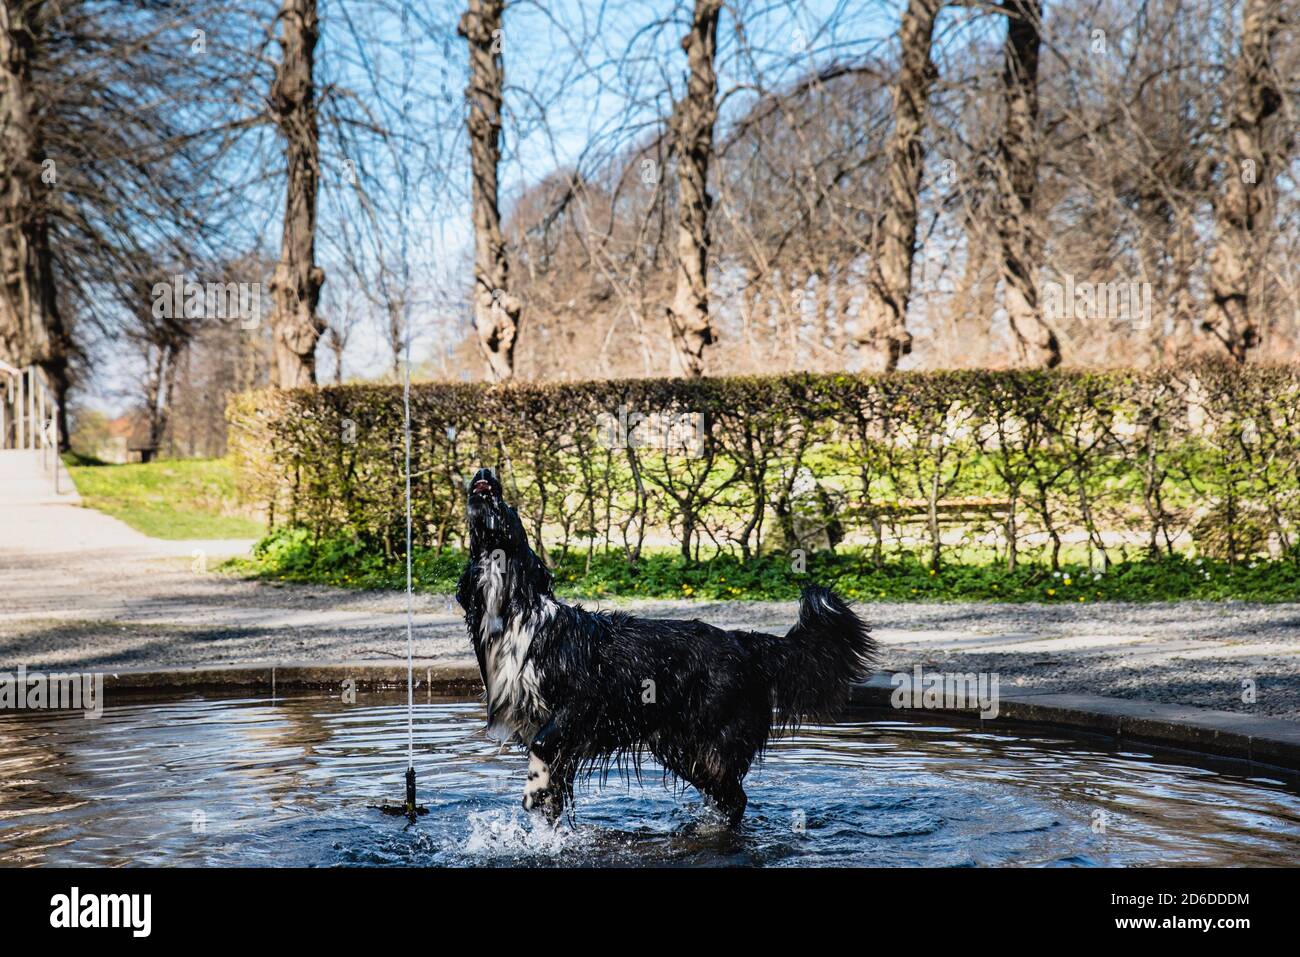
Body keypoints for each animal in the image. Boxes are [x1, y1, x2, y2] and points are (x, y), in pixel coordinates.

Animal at [454, 468, 873, 821]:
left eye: (509, 507)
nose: (485, 471)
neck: (515, 613)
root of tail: (745, 642)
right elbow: (552, 787)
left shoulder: (581, 706)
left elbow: (542, 747)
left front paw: (533, 794)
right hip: (678, 747)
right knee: (729, 798)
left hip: (704, 742)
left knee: (734, 798)